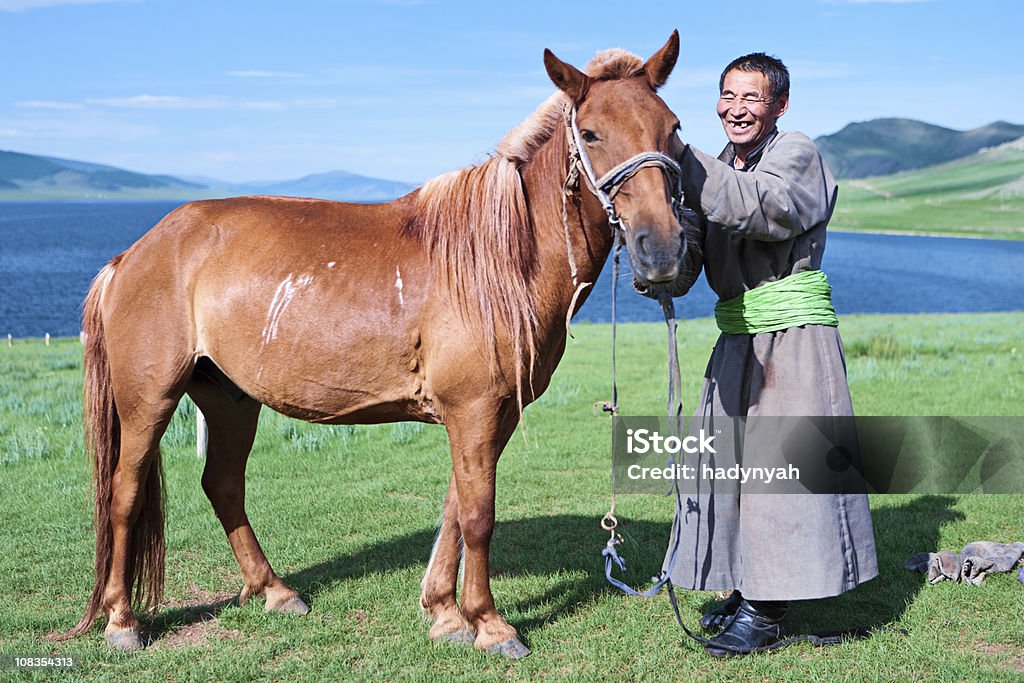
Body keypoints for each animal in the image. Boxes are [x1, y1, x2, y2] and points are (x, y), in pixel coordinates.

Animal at [64, 30, 688, 655]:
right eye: (592, 133)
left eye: (673, 129)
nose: (662, 249)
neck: (500, 257)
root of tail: (133, 255)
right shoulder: (474, 410)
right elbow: (478, 515)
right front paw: (490, 624)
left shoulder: (489, 414)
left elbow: (456, 509)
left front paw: (445, 612)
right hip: (149, 400)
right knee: (124, 494)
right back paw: (122, 620)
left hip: (229, 399)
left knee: (222, 484)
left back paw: (275, 592)